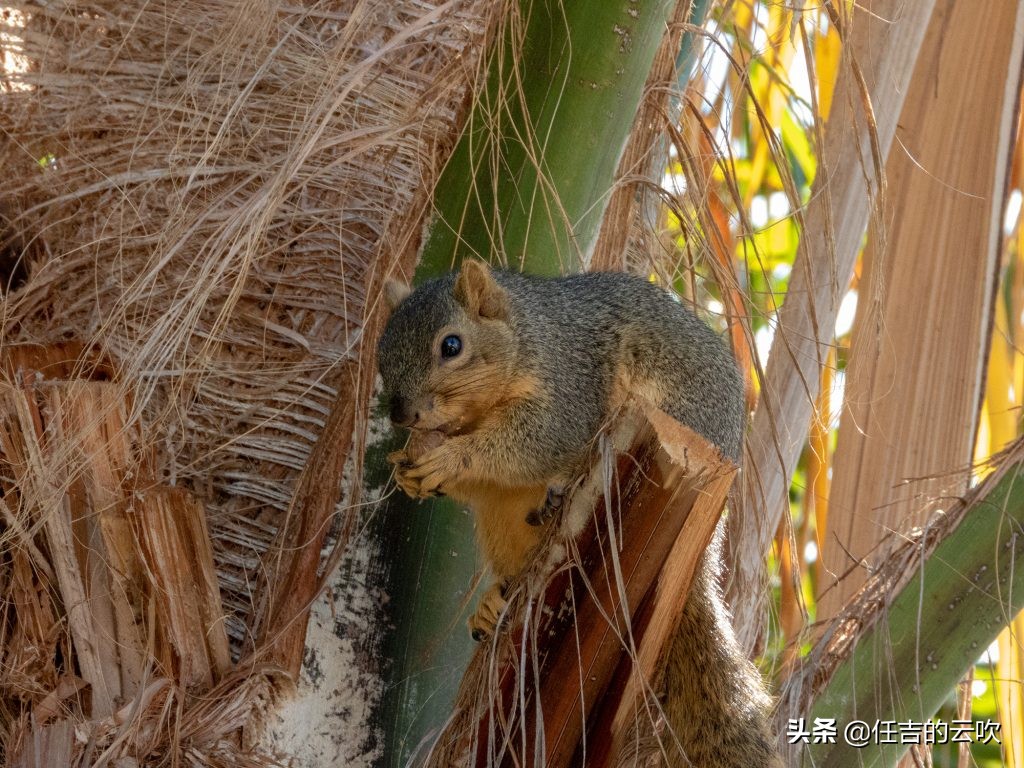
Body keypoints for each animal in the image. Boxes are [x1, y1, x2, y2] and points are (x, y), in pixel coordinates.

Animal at [376, 260, 782, 768]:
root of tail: (702, 558)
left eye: (451, 346)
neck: (528, 335)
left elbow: (533, 442)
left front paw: (452, 459)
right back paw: (493, 603)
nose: (401, 415)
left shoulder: (571, 387)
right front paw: (410, 472)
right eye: (381, 351)